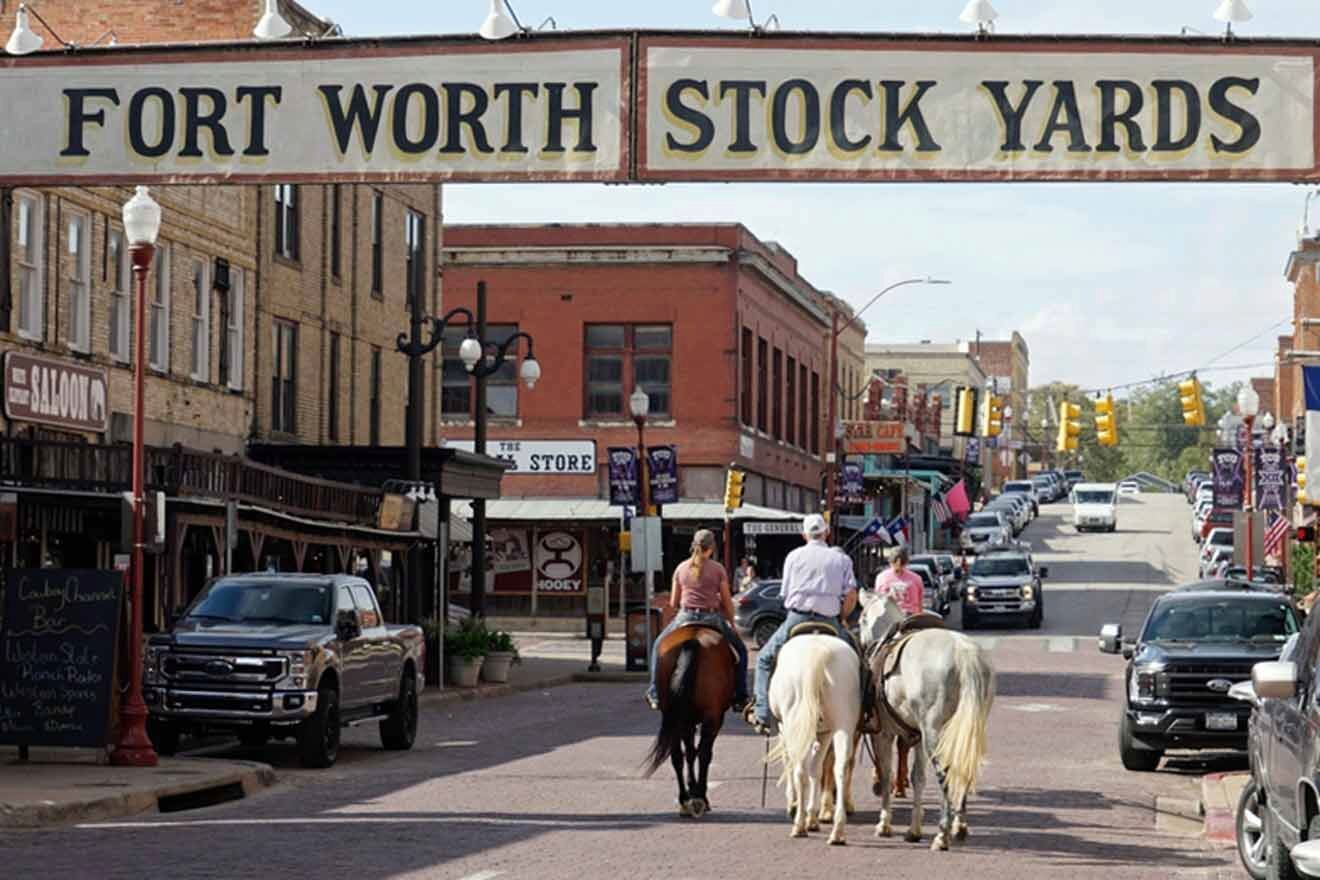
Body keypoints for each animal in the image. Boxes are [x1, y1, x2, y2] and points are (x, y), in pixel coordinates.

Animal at [644, 625, 739, 817]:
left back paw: (684, 800)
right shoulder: (713, 718)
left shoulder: (685, 721)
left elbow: (688, 753)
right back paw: (700, 798)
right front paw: (697, 792)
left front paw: (691, 790)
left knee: (677, 757)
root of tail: (692, 640)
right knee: (704, 754)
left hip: (673, 716)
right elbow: (698, 752)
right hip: (712, 718)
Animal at [770, 633, 860, 844]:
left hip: (794, 721)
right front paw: (812, 816)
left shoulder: (785, 729)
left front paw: (795, 805)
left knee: (800, 771)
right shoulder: (825, 732)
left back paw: (799, 825)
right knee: (840, 767)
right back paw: (837, 830)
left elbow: (793, 764)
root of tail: (818, 653)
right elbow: (817, 770)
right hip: (843, 722)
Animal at [855, 588, 992, 849]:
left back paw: (942, 834)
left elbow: (886, 774)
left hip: (935, 733)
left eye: (862, 619)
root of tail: (963, 654)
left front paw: (884, 824)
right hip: (963, 730)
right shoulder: (917, 735)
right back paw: (959, 827)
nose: (866, 646)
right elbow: (917, 776)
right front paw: (914, 829)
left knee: (945, 774)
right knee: (963, 768)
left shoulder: (884, 734)